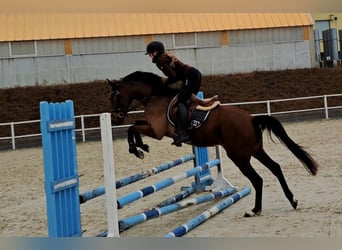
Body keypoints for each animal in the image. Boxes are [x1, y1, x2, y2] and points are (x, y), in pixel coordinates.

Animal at [107, 70, 318, 217]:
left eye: (114, 96)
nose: (115, 118)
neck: (154, 96)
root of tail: (251, 119)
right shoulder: (152, 127)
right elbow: (134, 125)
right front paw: (142, 147)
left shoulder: (157, 131)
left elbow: (132, 128)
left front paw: (137, 149)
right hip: (256, 151)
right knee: (275, 168)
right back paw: (292, 200)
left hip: (239, 156)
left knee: (257, 179)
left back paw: (255, 210)